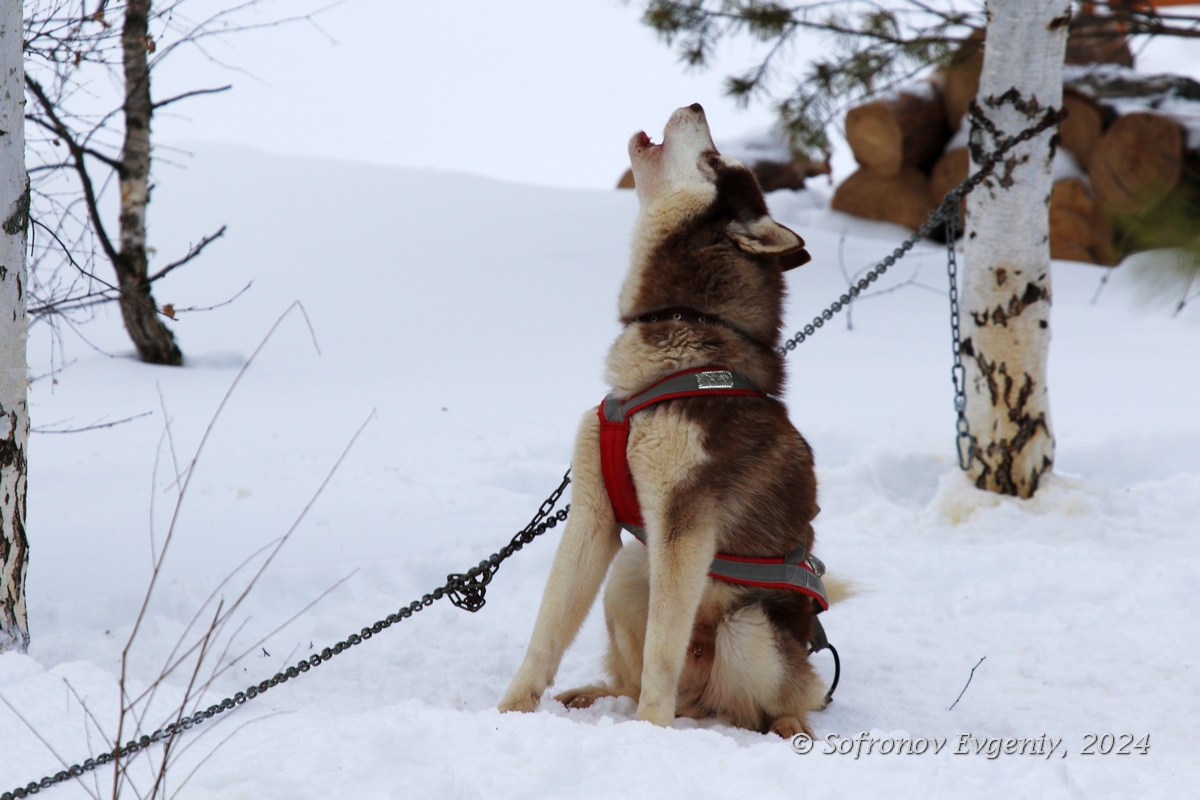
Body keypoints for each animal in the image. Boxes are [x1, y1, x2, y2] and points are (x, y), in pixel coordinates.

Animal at [496, 104, 835, 738]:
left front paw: (649, 735)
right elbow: (547, 631)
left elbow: (662, 652)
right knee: (636, 678)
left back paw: (782, 728)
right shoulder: (595, 514)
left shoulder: (683, 526)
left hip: (748, 628)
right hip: (631, 570)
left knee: (776, 699)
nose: (696, 105)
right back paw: (595, 695)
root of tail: (702, 703)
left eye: (714, 160)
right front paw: (507, 712)